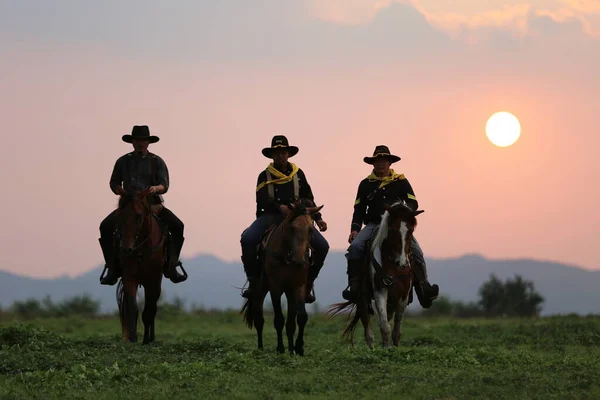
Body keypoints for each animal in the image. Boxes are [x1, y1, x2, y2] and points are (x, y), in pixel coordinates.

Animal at [113, 190, 165, 344]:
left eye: (138, 216)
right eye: (119, 215)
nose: (126, 249)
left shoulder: (153, 279)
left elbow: (149, 309)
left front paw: (147, 340)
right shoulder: (129, 277)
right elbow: (131, 308)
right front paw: (132, 338)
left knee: (153, 307)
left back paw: (151, 337)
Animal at [241, 200, 324, 356]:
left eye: (310, 229)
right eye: (291, 228)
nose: (299, 261)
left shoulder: (298, 286)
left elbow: (300, 317)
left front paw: (298, 348)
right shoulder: (275, 287)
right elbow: (279, 319)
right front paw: (280, 348)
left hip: (289, 291)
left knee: (289, 321)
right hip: (260, 290)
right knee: (259, 319)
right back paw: (260, 348)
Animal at [328, 202, 422, 348]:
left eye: (411, 231)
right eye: (393, 230)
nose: (402, 263)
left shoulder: (403, 295)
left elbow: (396, 329)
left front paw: (394, 347)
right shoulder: (380, 289)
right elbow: (384, 325)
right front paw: (386, 348)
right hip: (361, 298)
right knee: (367, 327)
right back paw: (372, 348)